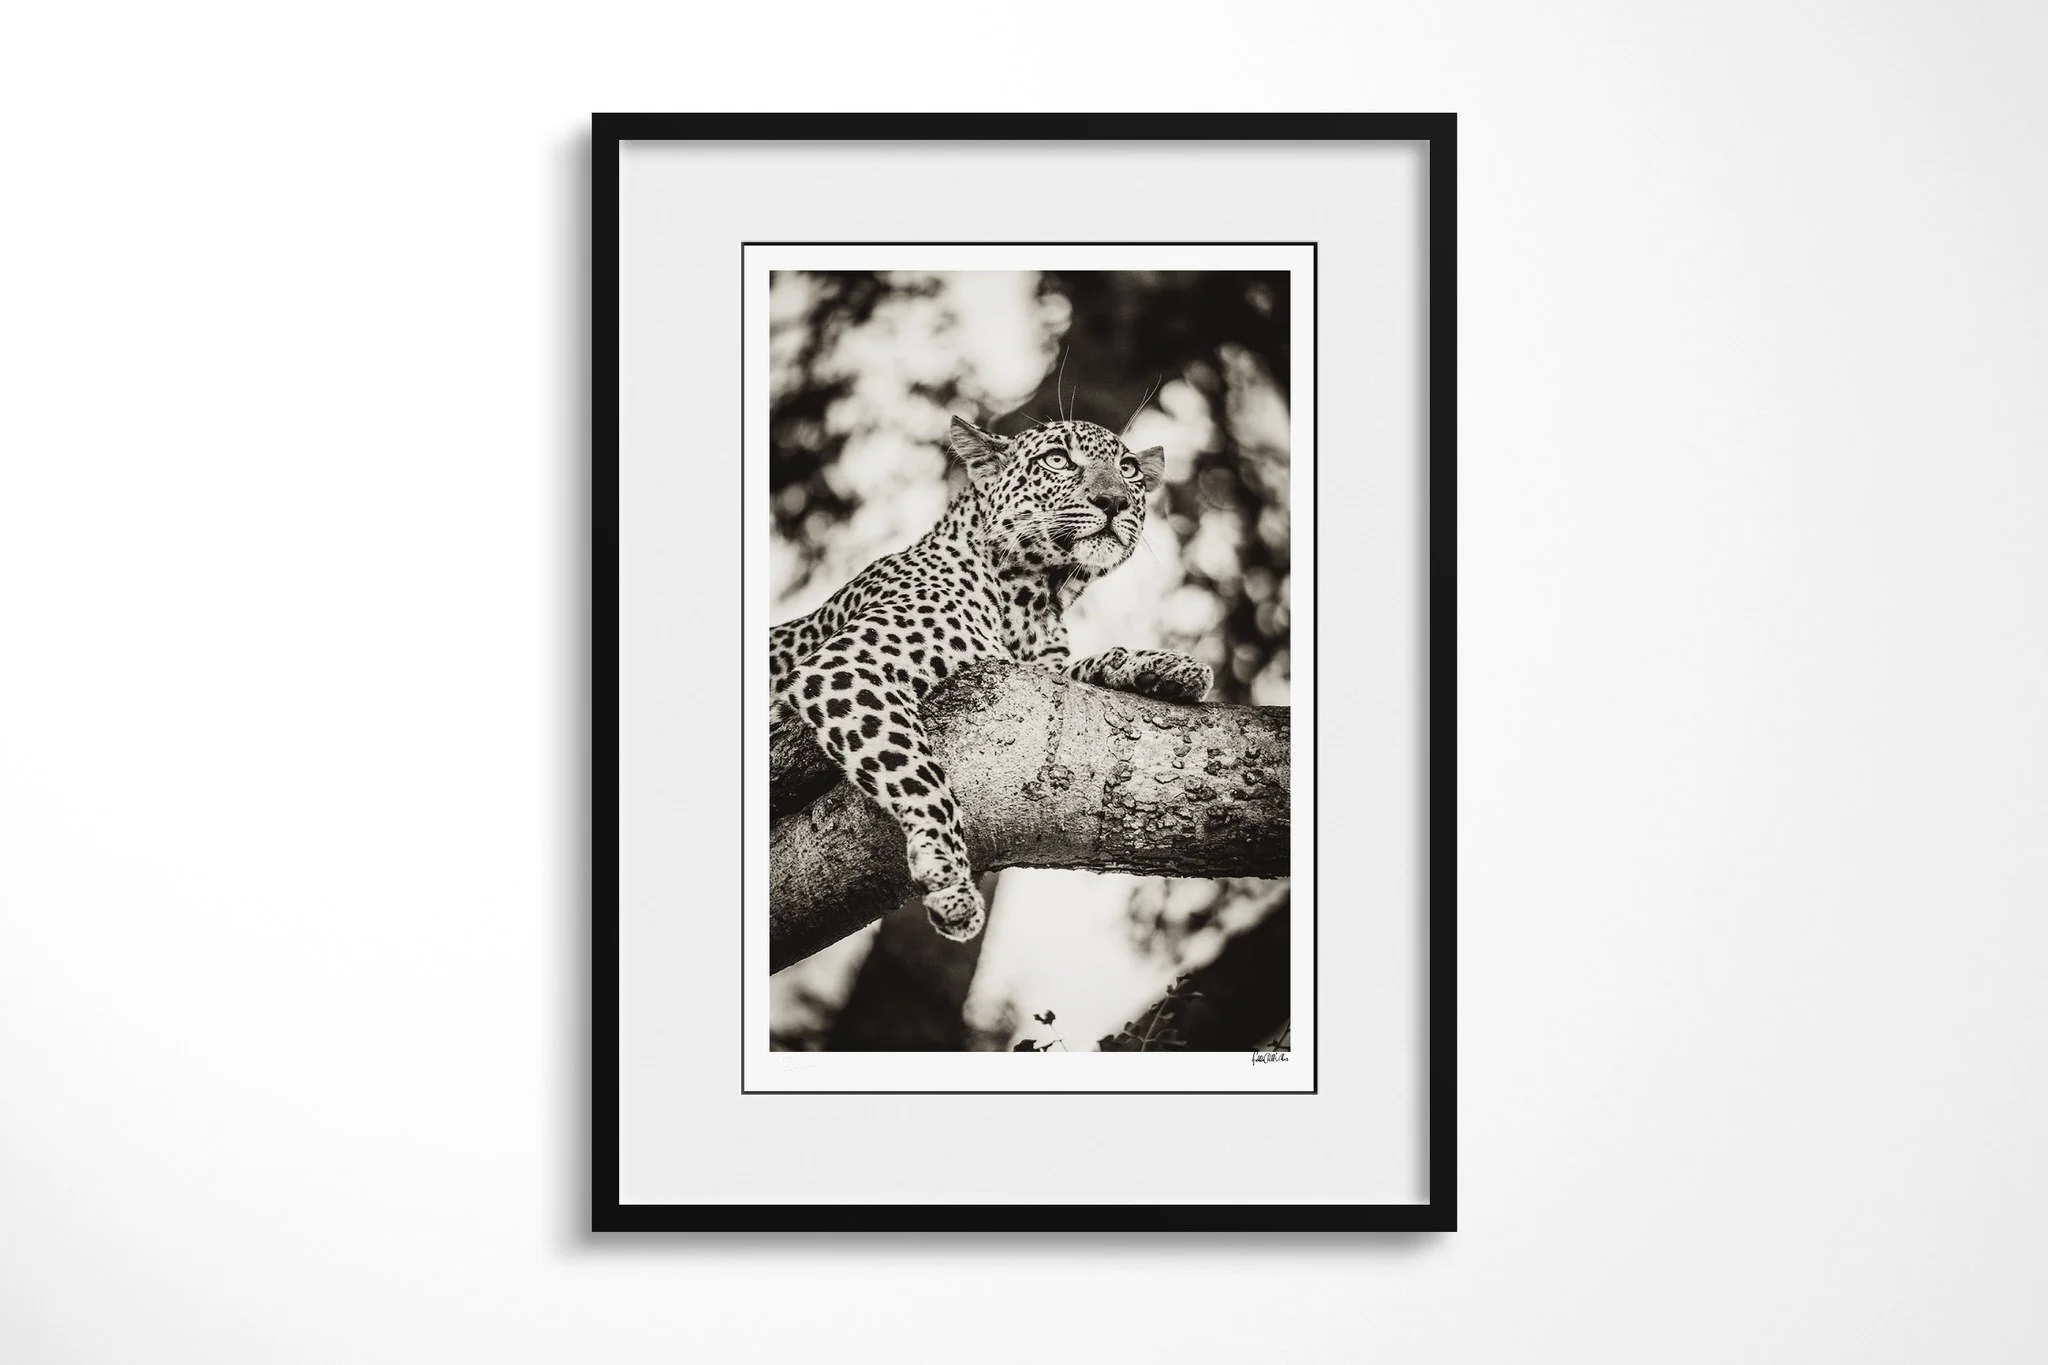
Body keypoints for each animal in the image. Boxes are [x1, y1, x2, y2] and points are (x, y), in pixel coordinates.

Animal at [769, 414, 1213, 943]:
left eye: (1128, 470)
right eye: (1057, 459)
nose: (1114, 501)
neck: (1034, 601)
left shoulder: (1036, 667)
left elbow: (1086, 665)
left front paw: (1169, 666)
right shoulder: (849, 663)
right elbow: (921, 778)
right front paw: (950, 882)